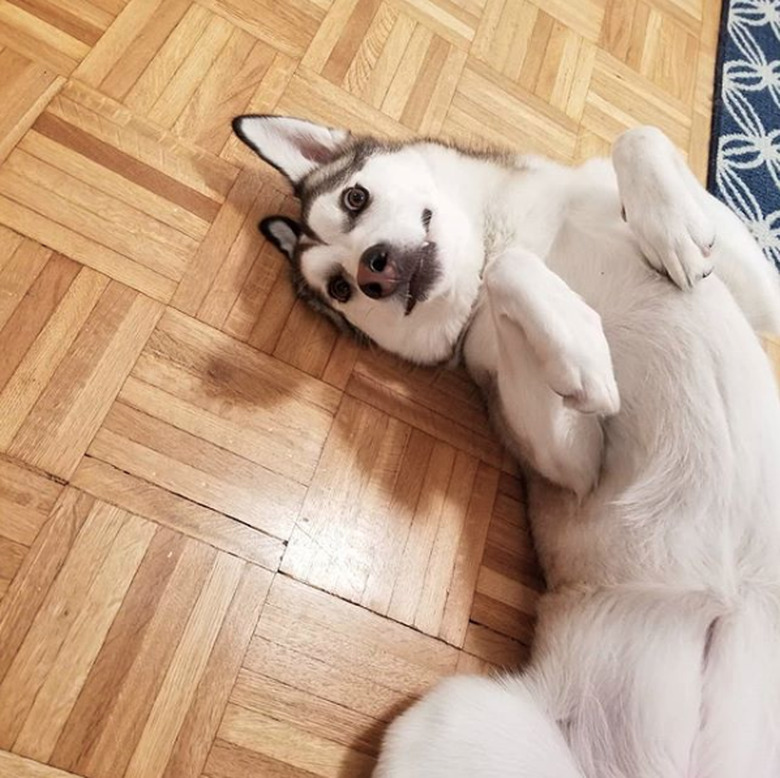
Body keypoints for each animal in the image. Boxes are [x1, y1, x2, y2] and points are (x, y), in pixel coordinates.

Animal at [235, 115, 780, 776]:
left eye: (354, 199)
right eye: (340, 289)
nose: (373, 271)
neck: (509, 231)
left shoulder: (763, 295)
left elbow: (638, 137)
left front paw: (670, 229)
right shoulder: (575, 465)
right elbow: (512, 275)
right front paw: (581, 341)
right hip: (446, 716)